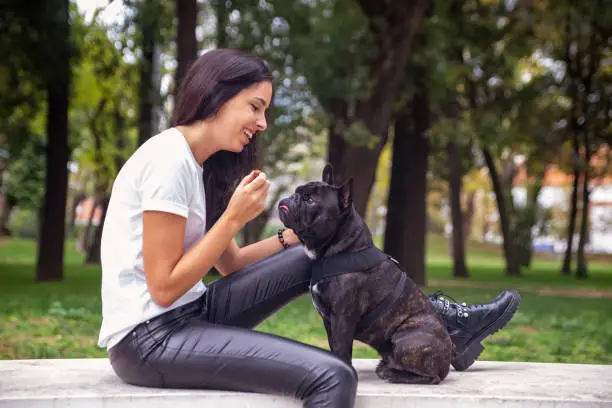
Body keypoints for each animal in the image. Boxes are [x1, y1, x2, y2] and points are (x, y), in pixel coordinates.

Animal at [278, 164, 454, 384]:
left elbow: (342, 350)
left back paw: (393, 374)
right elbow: (333, 345)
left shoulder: (342, 318)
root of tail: (448, 359)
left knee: (431, 377)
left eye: (310, 200)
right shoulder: (329, 321)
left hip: (406, 337)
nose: (289, 199)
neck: (339, 249)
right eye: (297, 192)